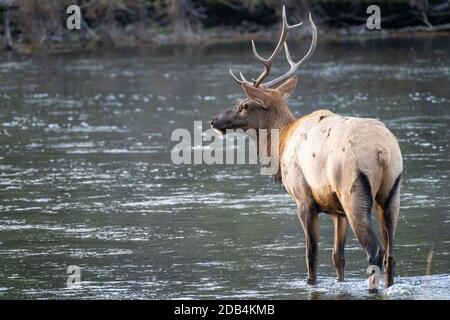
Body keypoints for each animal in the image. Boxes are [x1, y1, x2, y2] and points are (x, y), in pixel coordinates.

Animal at [211, 6, 404, 292]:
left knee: (375, 251)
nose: (214, 120)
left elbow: (311, 253)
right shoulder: (336, 209)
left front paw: (310, 284)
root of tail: (382, 151)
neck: (279, 145)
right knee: (391, 253)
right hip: (392, 192)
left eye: (244, 105)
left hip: (353, 190)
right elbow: (338, 257)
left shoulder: (304, 199)